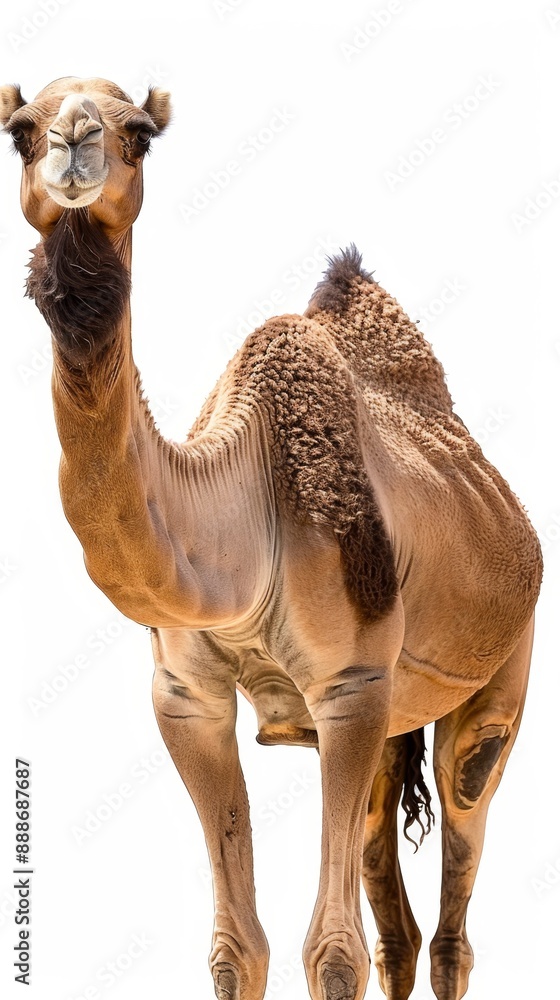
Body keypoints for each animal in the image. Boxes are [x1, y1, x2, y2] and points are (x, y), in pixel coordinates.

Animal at [1, 76, 542, 1000]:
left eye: (139, 132)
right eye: (20, 129)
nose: (75, 140)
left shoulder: (350, 685)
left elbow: (332, 951)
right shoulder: (186, 696)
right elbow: (236, 948)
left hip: (498, 676)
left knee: (456, 881)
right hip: (391, 723)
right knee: (397, 921)